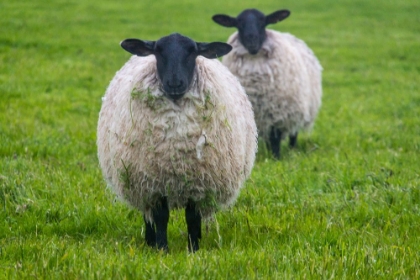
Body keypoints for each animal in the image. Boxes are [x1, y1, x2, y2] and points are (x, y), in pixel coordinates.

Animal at [97, 32, 258, 252]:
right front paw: (162, 248)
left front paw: (194, 249)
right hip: (140, 183)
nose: (174, 83)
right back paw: (150, 242)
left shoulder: (198, 183)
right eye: (158, 51)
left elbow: (192, 217)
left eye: (193, 52)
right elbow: (160, 217)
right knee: (147, 214)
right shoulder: (155, 183)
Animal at [213, 8, 322, 159]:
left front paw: (276, 157)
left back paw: (292, 149)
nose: (252, 42)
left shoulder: (277, 112)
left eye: (263, 22)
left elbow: (275, 138)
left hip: (297, 108)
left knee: (293, 133)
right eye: (239, 23)